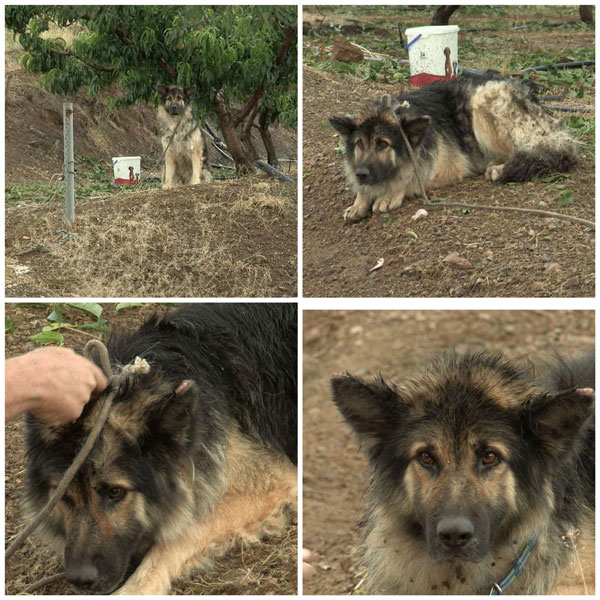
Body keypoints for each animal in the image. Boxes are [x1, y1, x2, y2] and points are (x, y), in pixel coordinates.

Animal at [22, 302, 298, 592]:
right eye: (63, 497)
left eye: (115, 492)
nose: (80, 580)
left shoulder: (269, 484)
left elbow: (182, 533)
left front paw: (135, 588)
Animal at [330, 76, 580, 221]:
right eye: (360, 144)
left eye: (383, 144)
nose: (361, 174)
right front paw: (360, 201)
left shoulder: (451, 168)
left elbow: (412, 179)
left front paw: (390, 193)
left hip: (481, 104)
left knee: (536, 150)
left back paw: (500, 168)